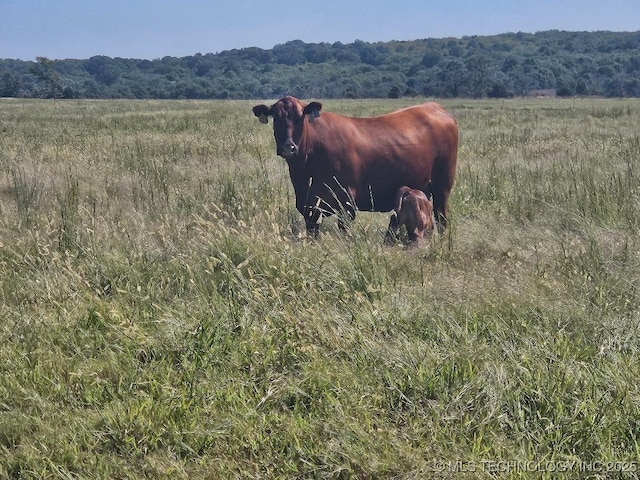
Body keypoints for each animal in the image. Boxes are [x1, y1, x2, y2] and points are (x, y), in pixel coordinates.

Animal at [252, 96, 458, 236]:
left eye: (299, 117)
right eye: (276, 118)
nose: (289, 147)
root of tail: (433, 107)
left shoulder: (347, 201)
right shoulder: (310, 207)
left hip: (442, 185)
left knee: (441, 217)